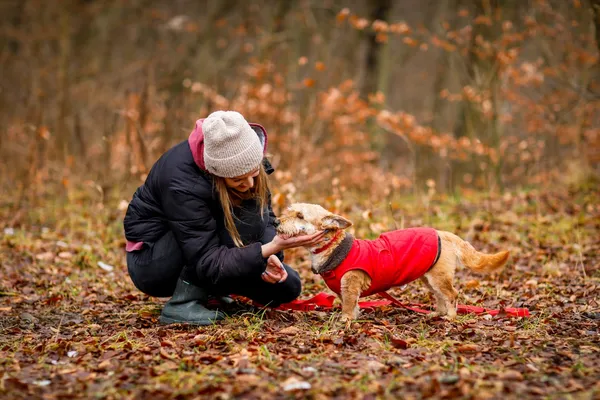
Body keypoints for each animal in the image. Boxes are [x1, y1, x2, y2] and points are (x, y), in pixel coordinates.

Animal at [274, 205, 508, 324]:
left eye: (300, 215)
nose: (276, 221)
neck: (333, 247)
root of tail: (445, 234)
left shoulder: (350, 285)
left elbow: (348, 305)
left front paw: (345, 320)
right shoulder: (345, 289)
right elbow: (353, 304)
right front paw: (354, 317)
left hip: (438, 278)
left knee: (452, 295)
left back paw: (450, 317)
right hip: (429, 277)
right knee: (441, 296)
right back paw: (438, 313)